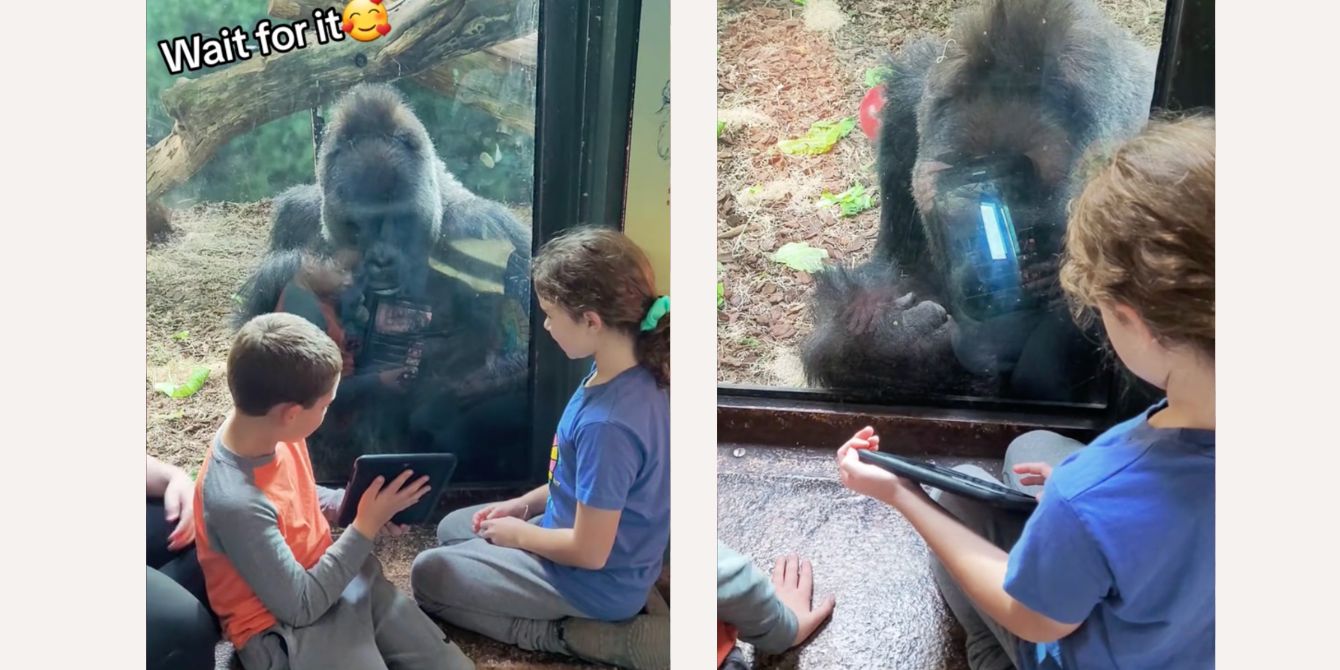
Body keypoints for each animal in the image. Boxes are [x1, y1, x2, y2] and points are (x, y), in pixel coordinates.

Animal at [238, 83, 530, 482]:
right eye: (359, 224)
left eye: (400, 219)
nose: (381, 260)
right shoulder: (295, 215)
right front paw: (299, 273)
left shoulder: (485, 231)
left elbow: (523, 358)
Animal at [798, 0, 1157, 399]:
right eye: (956, 226)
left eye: (1031, 235)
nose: (980, 287)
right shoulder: (906, 106)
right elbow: (894, 269)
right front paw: (882, 339)